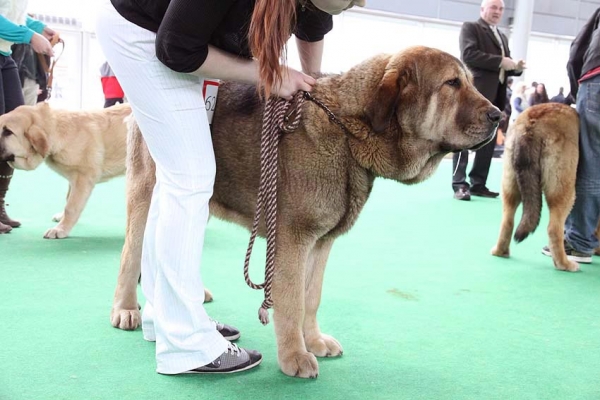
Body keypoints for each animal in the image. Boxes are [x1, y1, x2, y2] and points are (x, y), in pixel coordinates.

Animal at [0, 102, 131, 238]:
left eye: (8, 132)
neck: (58, 131)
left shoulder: (82, 178)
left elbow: (71, 207)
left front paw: (60, 229)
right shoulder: (74, 179)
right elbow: (68, 199)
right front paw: (61, 219)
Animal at [110, 47, 500, 378]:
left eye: (469, 81)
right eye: (452, 83)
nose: (499, 115)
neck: (348, 131)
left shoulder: (321, 241)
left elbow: (311, 296)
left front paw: (313, 341)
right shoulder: (292, 240)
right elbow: (292, 299)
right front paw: (295, 356)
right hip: (149, 191)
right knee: (132, 253)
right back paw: (127, 309)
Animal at [492, 103, 580, 272]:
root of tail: (531, 125)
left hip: (510, 182)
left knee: (507, 220)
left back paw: (500, 251)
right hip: (563, 187)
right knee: (554, 228)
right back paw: (564, 264)